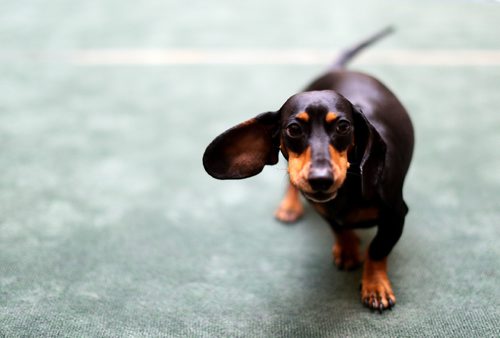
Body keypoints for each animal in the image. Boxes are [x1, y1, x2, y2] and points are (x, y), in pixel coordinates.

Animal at [202, 27, 414, 312]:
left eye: (344, 126)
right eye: (293, 128)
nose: (320, 180)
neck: (347, 192)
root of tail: (339, 70)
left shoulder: (396, 215)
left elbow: (377, 249)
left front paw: (375, 286)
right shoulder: (323, 208)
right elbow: (338, 228)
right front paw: (347, 248)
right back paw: (290, 206)